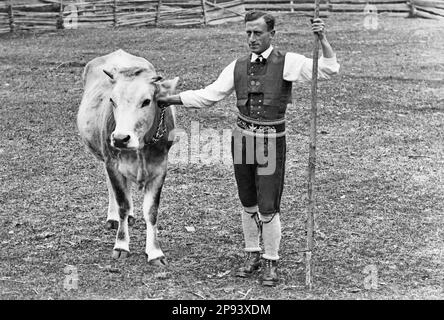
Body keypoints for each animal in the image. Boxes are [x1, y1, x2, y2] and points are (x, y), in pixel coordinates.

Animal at [77, 49, 178, 264]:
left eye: (146, 101)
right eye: (112, 100)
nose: (120, 138)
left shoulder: (160, 169)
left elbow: (151, 211)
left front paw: (155, 252)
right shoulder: (113, 164)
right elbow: (122, 204)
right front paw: (121, 245)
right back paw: (113, 217)